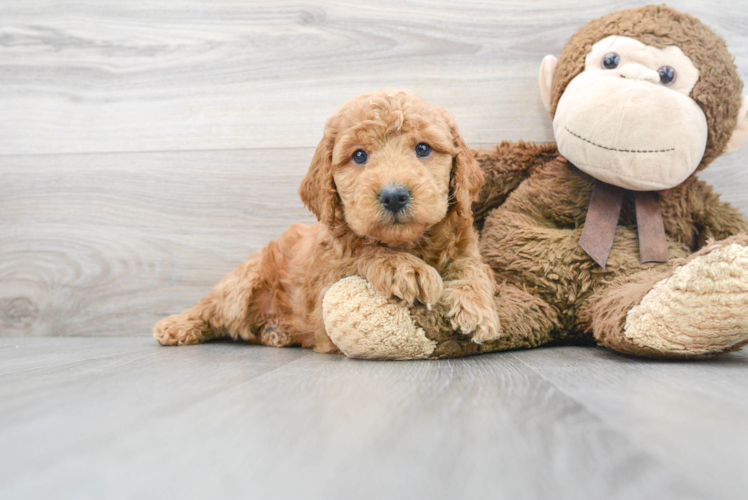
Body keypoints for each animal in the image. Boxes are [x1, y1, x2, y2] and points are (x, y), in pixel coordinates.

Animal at [154, 89, 500, 352]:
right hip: (243, 283)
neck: (409, 242)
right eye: (359, 155)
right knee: (213, 307)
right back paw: (175, 326)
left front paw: (477, 309)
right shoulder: (325, 282)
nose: (394, 196)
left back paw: (276, 331)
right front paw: (404, 268)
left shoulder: (466, 246)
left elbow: (472, 268)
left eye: (423, 148)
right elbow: (363, 251)